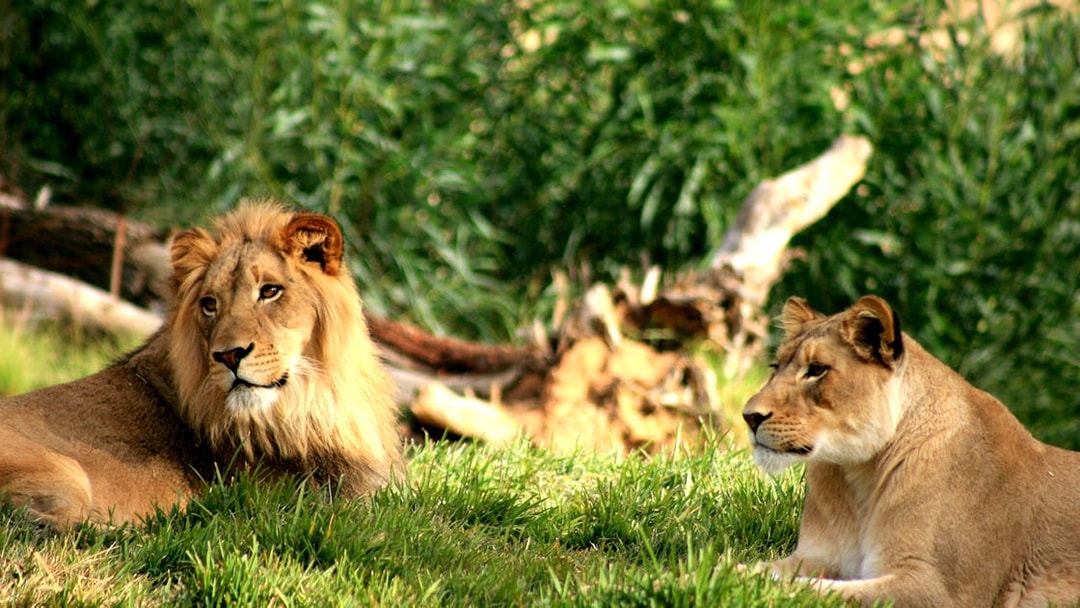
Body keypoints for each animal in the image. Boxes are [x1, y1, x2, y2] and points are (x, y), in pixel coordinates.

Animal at [0, 199, 406, 528]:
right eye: (210, 304)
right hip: (62, 471)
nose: (228, 355)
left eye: (270, 291)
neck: (312, 403)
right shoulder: (312, 498)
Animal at [742, 295, 1080, 607]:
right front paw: (733, 568)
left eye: (816, 370)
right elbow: (761, 569)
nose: (749, 416)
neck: (858, 477)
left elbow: (816, 589)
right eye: (775, 367)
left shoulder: (939, 591)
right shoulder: (819, 556)